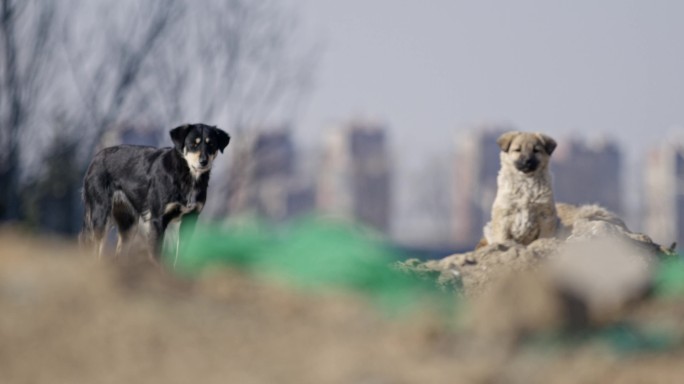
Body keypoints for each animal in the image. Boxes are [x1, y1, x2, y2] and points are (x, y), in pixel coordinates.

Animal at [81, 124, 231, 264]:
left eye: (211, 144)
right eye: (193, 144)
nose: (203, 162)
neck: (187, 176)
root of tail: (95, 158)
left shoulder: (190, 219)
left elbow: (180, 255)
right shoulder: (157, 220)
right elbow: (156, 255)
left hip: (128, 224)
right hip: (100, 217)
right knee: (95, 250)